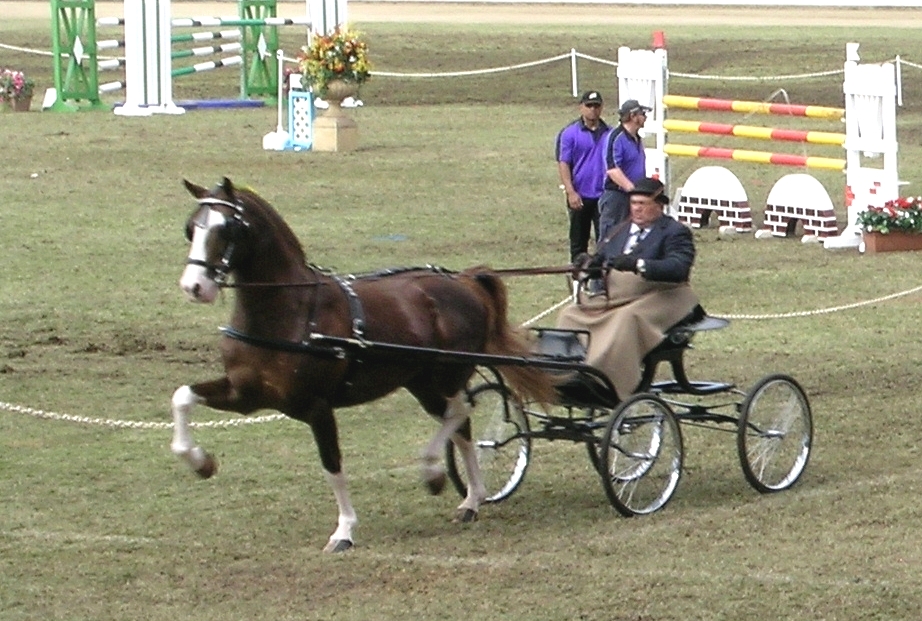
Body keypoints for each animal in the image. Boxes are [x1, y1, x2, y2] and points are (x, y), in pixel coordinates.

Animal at [172, 177, 556, 552]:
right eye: (191, 228)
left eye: (227, 228)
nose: (194, 287)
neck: (291, 312)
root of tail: (463, 280)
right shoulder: (247, 394)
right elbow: (182, 397)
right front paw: (200, 462)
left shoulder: (316, 406)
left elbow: (332, 465)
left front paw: (344, 530)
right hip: (421, 382)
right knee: (460, 425)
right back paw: (470, 500)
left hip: (445, 375)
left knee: (459, 413)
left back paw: (436, 474)